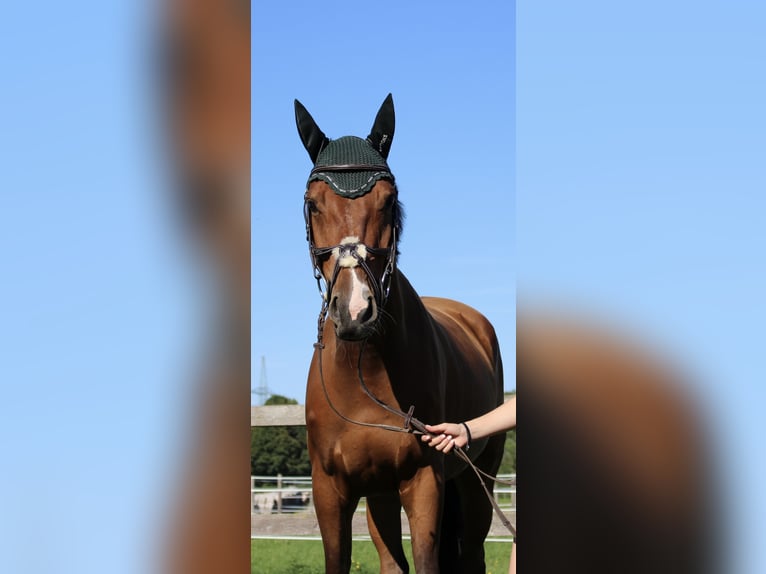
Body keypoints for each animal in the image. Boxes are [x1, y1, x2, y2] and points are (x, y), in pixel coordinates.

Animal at [296, 95, 508, 574]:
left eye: (388, 200)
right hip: (380, 493)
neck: (364, 376)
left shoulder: (425, 481)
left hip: (476, 481)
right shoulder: (331, 491)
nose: (355, 311)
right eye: (313, 203)